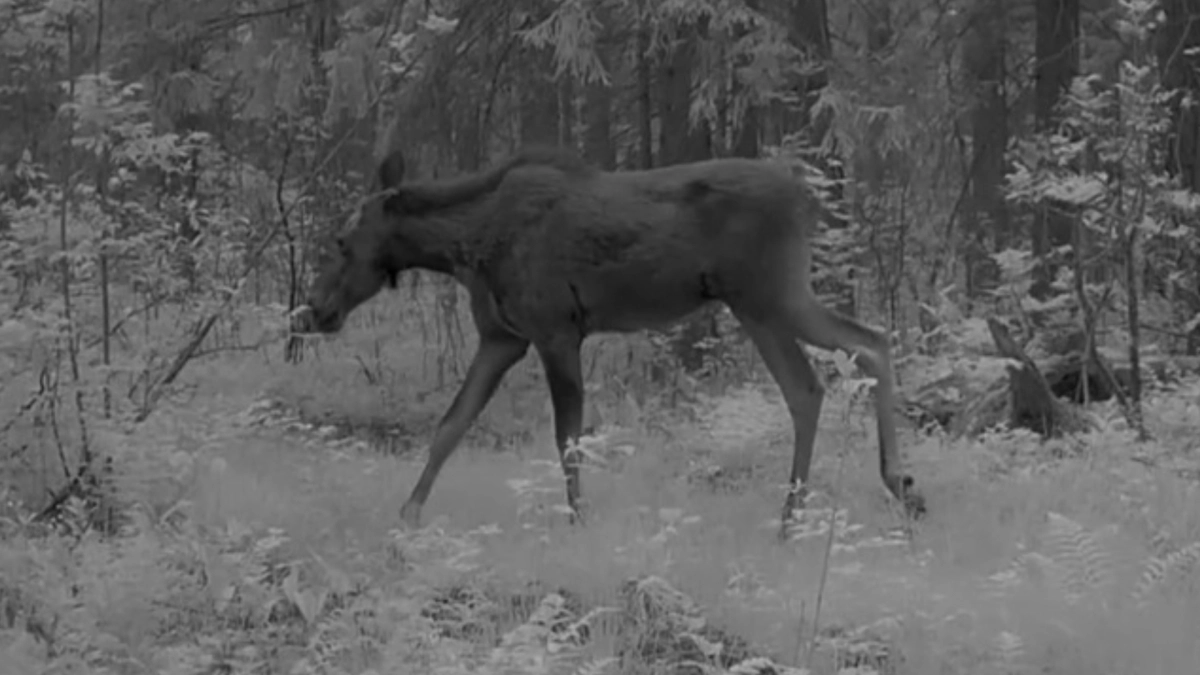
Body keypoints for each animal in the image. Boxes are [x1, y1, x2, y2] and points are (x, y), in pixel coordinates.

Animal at [294, 145, 926, 536]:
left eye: (342, 241)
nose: (315, 309)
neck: (463, 249)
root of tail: (810, 199)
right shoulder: (502, 337)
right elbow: (449, 427)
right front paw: (406, 515)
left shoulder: (554, 329)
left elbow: (567, 439)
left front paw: (578, 520)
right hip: (763, 302)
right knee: (842, 363)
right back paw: (870, 494)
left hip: (769, 295)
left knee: (843, 360)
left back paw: (828, 505)